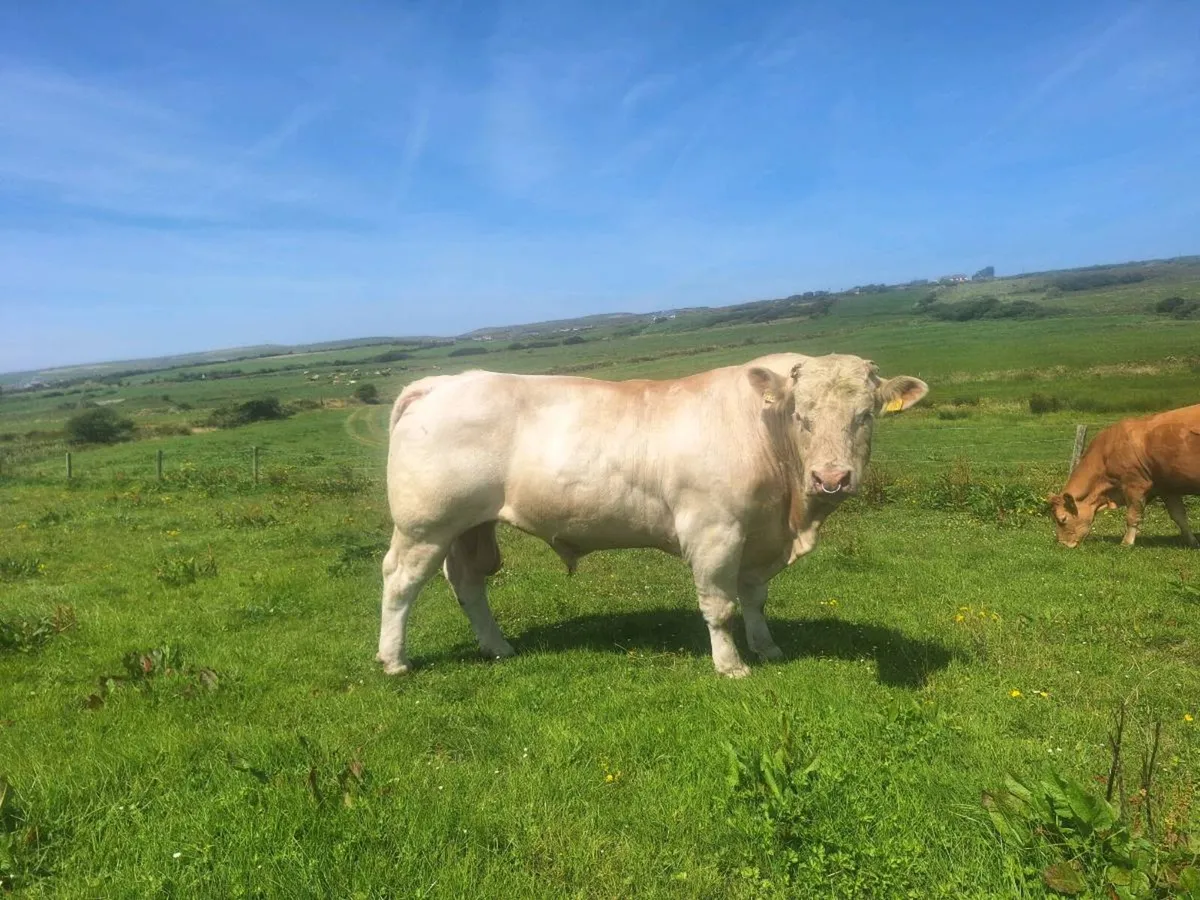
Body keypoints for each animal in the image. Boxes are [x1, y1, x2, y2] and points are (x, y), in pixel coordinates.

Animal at [377, 353, 928, 678]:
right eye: (801, 415)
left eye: (865, 415)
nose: (832, 478)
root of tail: (440, 383)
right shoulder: (714, 531)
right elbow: (720, 606)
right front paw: (731, 665)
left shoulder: (757, 537)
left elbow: (755, 600)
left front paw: (767, 647)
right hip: (425, 524)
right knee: (401, 582)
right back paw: (394, 660)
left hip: (470, 526)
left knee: (468, 583)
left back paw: (498, 647)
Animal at [1048, 403, 1200, 549]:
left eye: (1062, 519)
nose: (1063, 544)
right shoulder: (1166, 488)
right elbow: (1179, 516)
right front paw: (1192, 542)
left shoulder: (1134, 484)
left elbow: (1133, 516)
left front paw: (1126, 543)